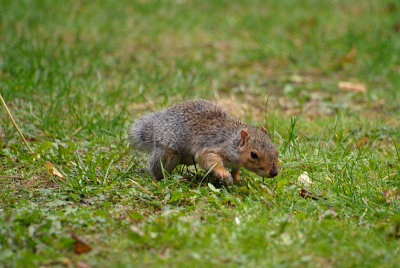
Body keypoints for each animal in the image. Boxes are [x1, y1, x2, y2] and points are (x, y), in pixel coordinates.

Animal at [129, 99, 278, 184]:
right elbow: (208, 160)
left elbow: (236, 170)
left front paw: (238, 178)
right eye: (253, 154)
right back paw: (162, 178)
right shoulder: (212, 148)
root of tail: (157, 127)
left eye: (276, 151)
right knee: (156, 168)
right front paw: (224, 175)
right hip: (167, 153)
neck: (232, 142)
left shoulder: (236, 163)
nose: (274, 173)